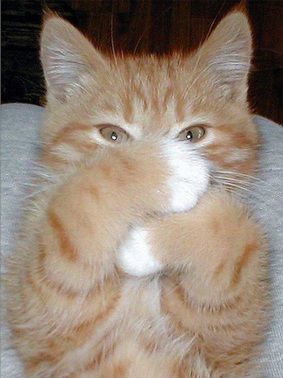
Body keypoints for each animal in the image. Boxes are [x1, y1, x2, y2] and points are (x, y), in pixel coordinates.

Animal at [5, 6, 270, 378]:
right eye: (112, 135)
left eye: (193, 134)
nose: (177, 150)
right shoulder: (45, 309)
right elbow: (79, 202)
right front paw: (170, 167)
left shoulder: (225, 340)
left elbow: (235, 234)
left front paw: (141, 245)